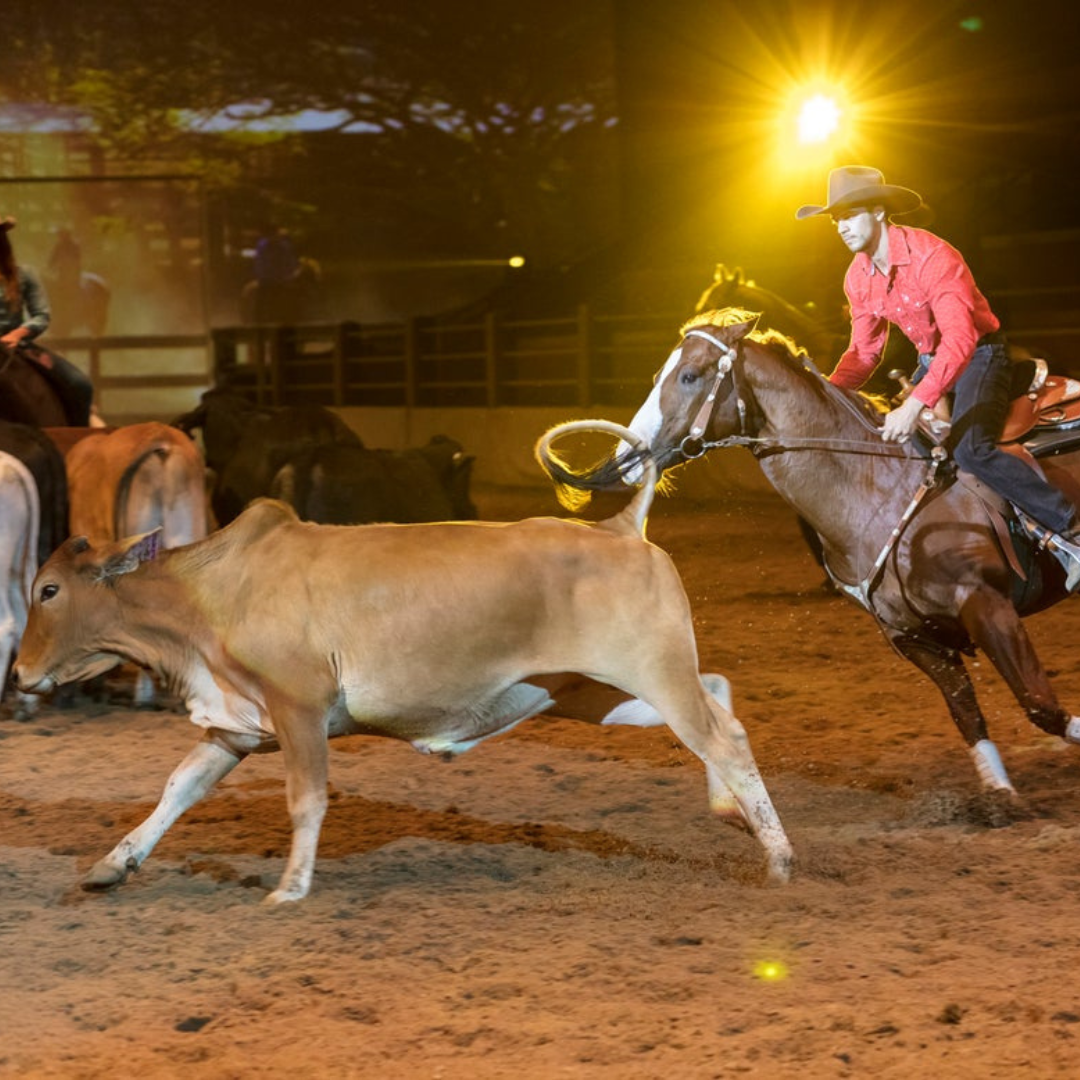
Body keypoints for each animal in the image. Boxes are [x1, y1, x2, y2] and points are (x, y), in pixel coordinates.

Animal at [537, 306, 1080, 800]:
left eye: (690, 376)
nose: (625, 459)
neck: (884, 483)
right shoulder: (912, 636)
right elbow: (968, 713)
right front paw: (998, 795)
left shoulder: (988, 604)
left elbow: (1042, 707)